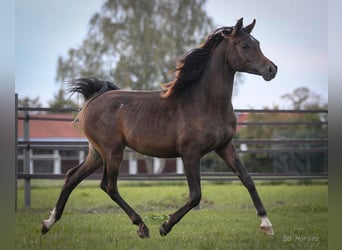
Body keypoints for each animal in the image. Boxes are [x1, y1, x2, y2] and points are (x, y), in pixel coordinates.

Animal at [42, 18, 278, 238]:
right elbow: (195, 195)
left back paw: (47, 223)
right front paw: (165, 226)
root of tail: (94, 98)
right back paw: (142, 226)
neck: (206, 103)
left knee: (72, 176)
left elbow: (248, 180)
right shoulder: (190, 153)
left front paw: (267, 225)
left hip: (97, 153)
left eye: (257, 43)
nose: (272, 69)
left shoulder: (225, 146)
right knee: (108, 185)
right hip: (112, 151)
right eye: (245, 45)